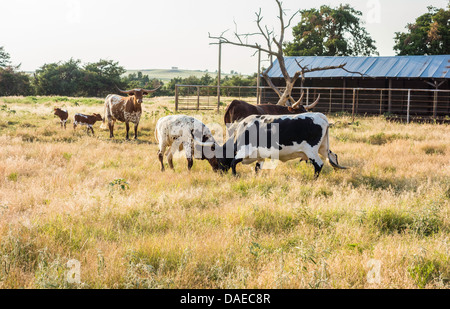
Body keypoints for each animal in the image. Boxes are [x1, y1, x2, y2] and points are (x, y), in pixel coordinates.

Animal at [193, 112, 344, 177]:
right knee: (333, 156)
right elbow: (257, 168)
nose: (218, 172)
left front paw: (235, 176)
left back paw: (314, 179)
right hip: (324, 148)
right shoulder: (260, 156)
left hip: (311, 151)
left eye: (218, 158)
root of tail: (320, 116)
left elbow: (233, 162)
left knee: (319, 164)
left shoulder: (245, 150)